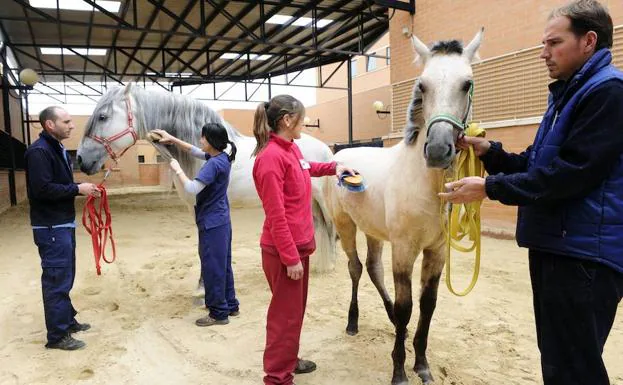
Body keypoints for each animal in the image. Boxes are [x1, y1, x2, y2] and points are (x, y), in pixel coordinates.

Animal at [78, 84, 338, 272]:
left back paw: (331, 265)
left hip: (322, 199)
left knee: (330, 226)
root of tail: (325, 149)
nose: (81, 159)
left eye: (102, 117)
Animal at [324, 30, 486, 384]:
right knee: (356, 268)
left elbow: (427, 305)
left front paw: (422, 364)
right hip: (346, 227)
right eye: (422, 85)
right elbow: (406, 307)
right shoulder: (404, 249)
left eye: (466, 83)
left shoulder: (436, 251)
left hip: (372, 231)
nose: (438, 150)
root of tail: (339, 156)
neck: (426, 185)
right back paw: (353, 322)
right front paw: (399, 371)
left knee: (374, 269)